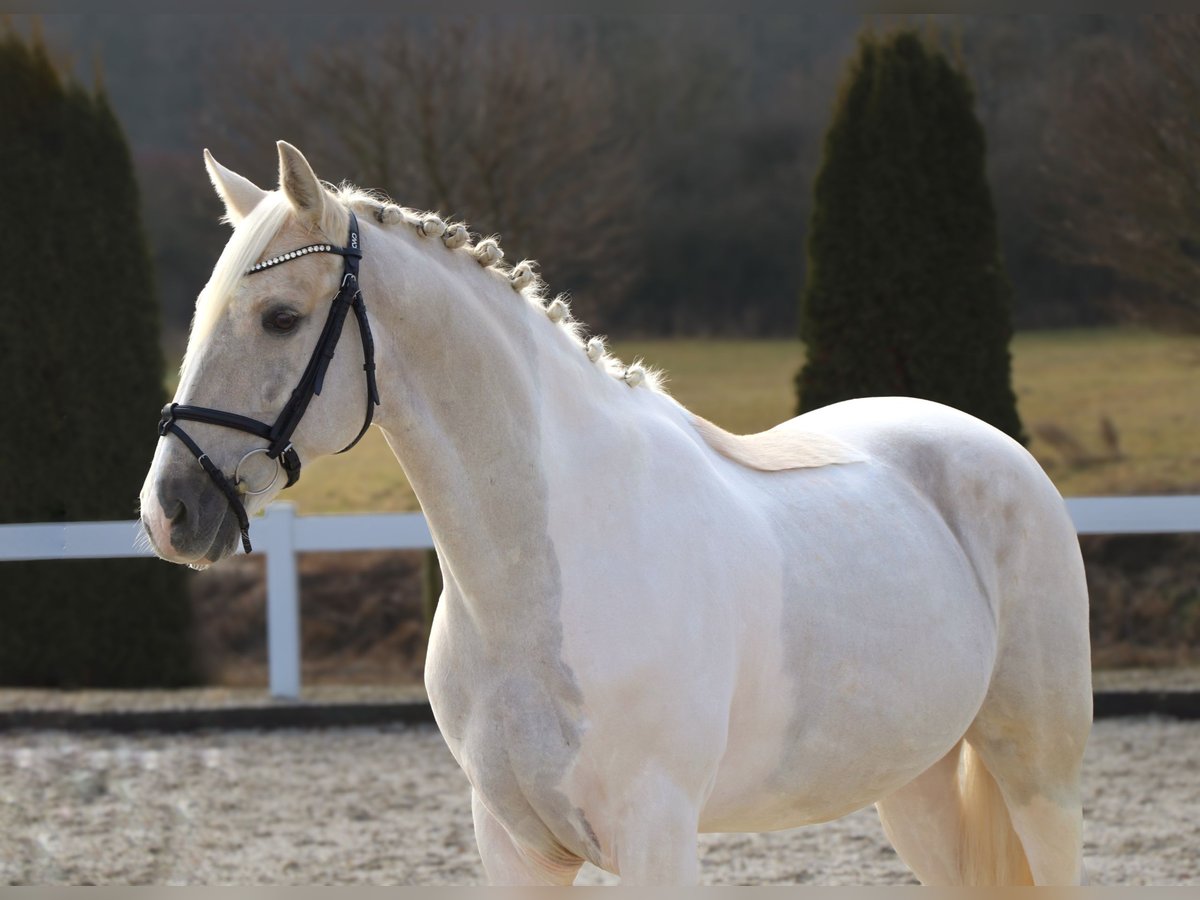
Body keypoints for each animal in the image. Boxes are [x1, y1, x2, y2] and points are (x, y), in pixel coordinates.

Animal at [138, 141, 1089, 888]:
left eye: (280, 317)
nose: (170, 513)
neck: (537, 583)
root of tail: (994, 448)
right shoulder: (516, 845)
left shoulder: (655, 834)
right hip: (917, 787)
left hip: (1040, 784)